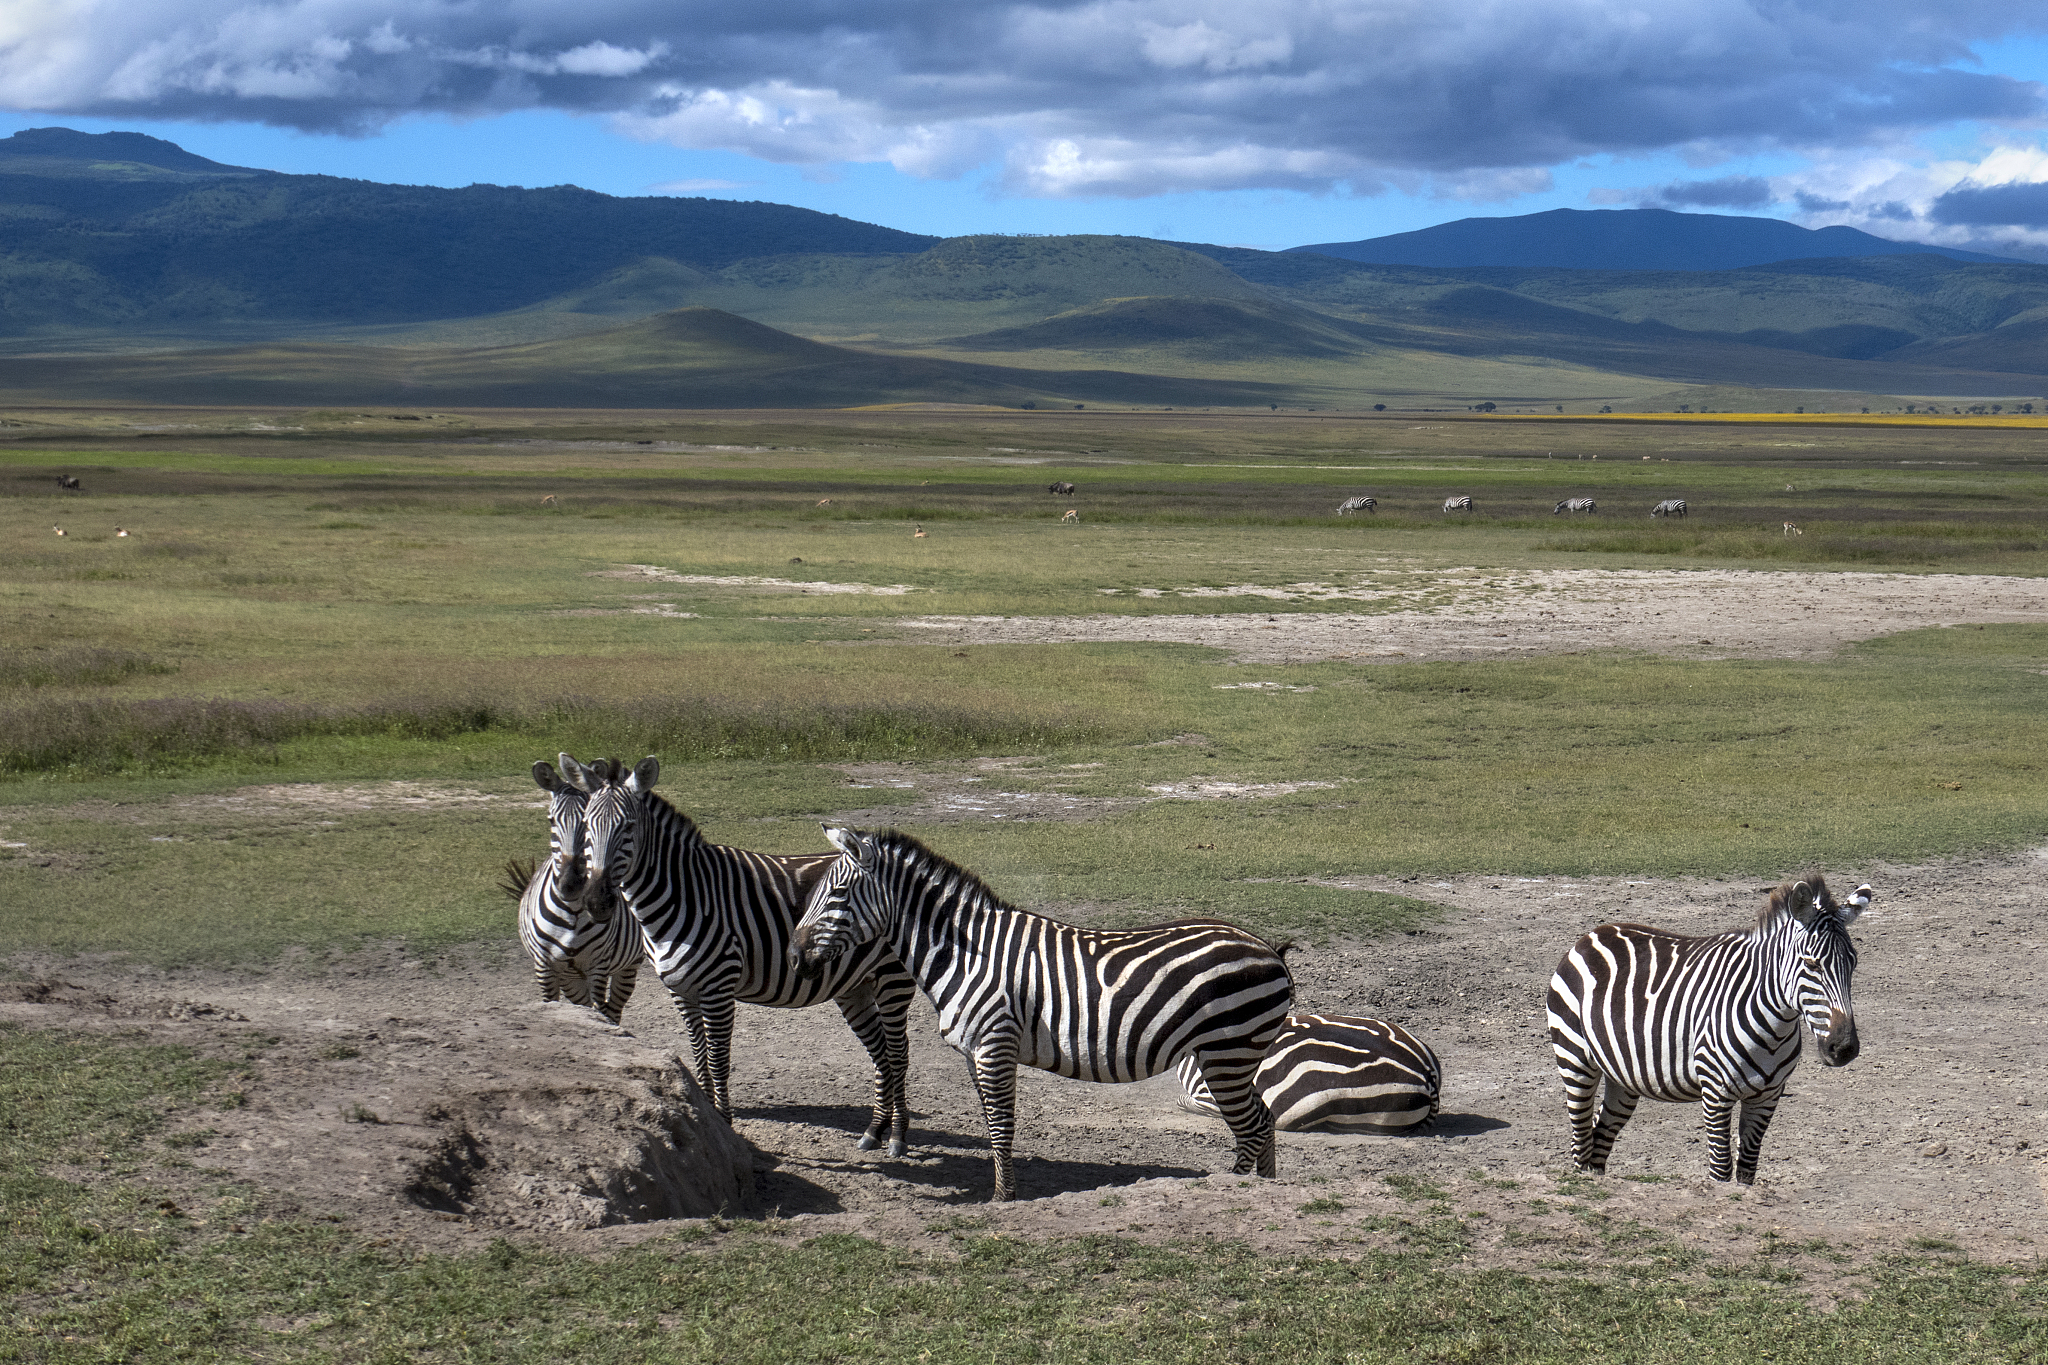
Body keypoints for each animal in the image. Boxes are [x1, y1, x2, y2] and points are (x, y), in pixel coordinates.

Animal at [503, 761, 642, 1024]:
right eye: (551, 820)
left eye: (586, 822)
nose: (571, 884)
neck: (573, 911)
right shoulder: (545, 967)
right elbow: (551, 1005)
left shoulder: (598, 966)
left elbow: (601, 1009)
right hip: (572, 979)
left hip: (628, 965)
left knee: (613, 1009)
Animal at [562, 755, 917, 1156]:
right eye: (586, 827)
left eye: (629, 827)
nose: (596, 901)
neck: (683, 893)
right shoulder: (681, 991)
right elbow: (699, 1056)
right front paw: (706, 1121)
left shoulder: (718, 987)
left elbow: (718, 1059)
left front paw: (725, 1124)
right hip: (854, 986)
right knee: (880, 1053)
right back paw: (875, 1129)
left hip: (892, 980)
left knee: (898, 1054)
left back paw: (897, 1134)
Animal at [791, 826, 1293, 1201]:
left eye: (837, 893)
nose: (794, 956)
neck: (965, 954)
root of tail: (1268, 948)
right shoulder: (975, 1052)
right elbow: (991, 1125)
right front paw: (1000, 1190)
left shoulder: (995, 1042)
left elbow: (1001, 1125)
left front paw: (1002, 1199)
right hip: (1233, 1056)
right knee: (1263, 1119)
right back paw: (1263, 1188)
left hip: (1227, 1052)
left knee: (1251, 1127)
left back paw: (1237, 1188)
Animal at [1546, 874, 1872, 1185]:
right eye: (1811, 964)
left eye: (1853, 964)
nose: (1844, 1048)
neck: (1775, 1025)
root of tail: (1593, 933)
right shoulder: (1715, 1092)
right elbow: (1721, 1169)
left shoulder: (1767, 1096)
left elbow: (1747, 1170)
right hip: (1575, 1059)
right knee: (1581, 1140)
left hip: (1623, 1075)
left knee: (1599, 1138)